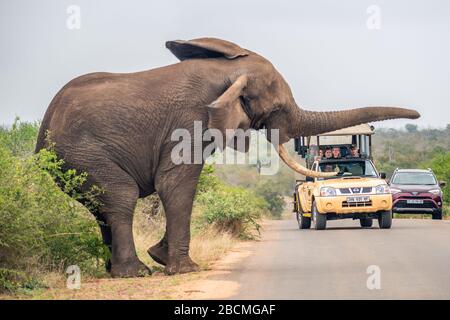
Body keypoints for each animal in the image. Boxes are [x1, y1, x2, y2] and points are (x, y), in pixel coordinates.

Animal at [36, 38, 422, 278]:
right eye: (278, 108)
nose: (417, 114)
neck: (224, 73)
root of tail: (43, 131)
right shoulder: (187, 123)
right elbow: (175, 183)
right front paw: (182, 268)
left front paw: (161, 257)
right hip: (84, 153)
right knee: (121, 197)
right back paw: (134, 273)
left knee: (102, 206)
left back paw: (114, 271)